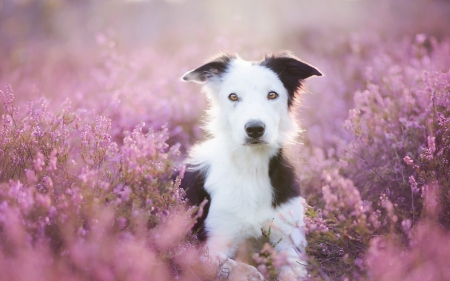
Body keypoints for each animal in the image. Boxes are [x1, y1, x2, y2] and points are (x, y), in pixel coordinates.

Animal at [181, 51, 322, 278]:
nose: (255, 129)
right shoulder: (208, 247)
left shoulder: (291, 242)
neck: (252, 168)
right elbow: (240, 268)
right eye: (233, 96)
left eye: (272, 95)